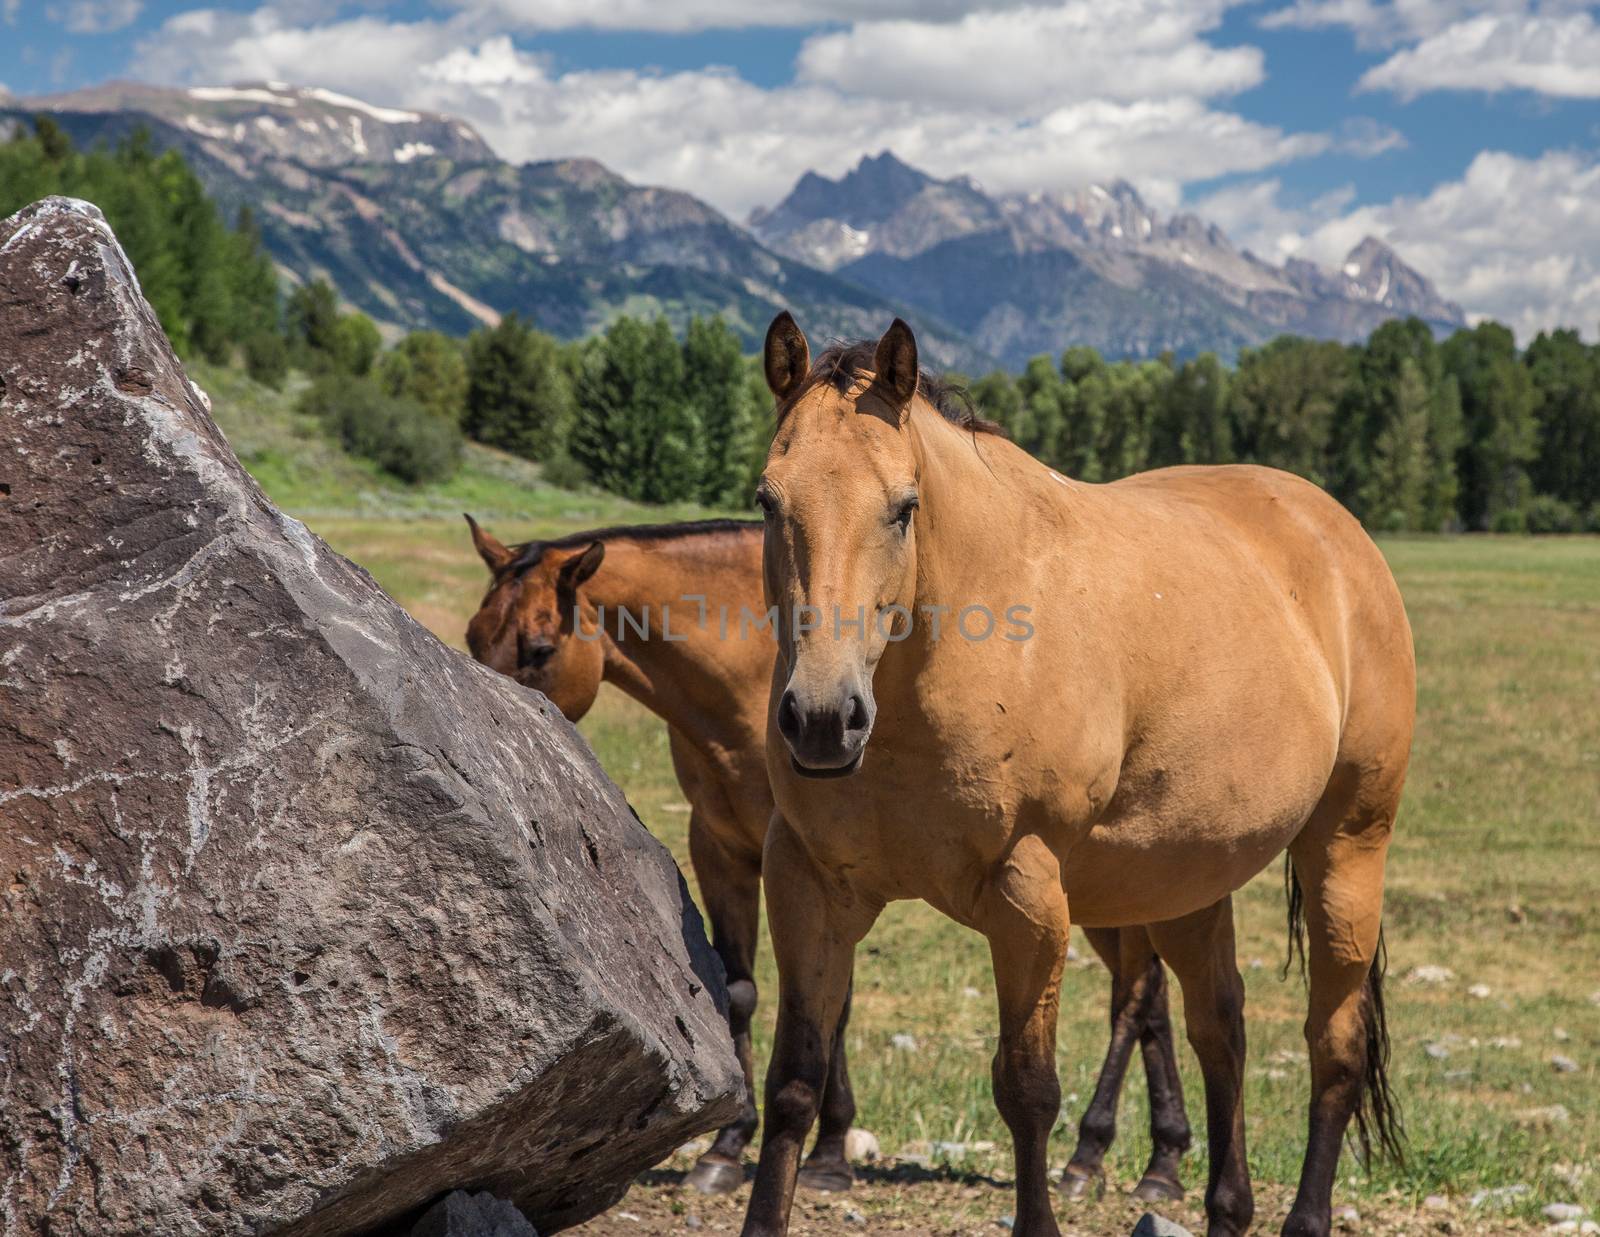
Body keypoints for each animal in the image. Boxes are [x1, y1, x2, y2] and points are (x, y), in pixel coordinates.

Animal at [460, 515, 1190, 1203]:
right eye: (472, 638)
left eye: (539, 648)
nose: (488, 713)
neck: (749, 669)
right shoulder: (722, 847)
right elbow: (741, 989)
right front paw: (728, 1147)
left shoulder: (827, 866)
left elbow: (833, 1008)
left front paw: (828, 1154)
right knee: (1149, 999)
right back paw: (1155, 1160)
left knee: (1136, 998)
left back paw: (1100, 1156)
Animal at [739, 312, 1414, 1235]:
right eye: (768, 500)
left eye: (903, 508)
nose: (820, 717)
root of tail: (1340, 536)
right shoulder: (808, 882)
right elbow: (793, 1085)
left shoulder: (1029, 896)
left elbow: (1027, 1090)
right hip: (1187, 880)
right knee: (1221, 1028)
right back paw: (1224, 1203)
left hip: (1346, 850)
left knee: (1334, 1047)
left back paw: (1304, 1216)